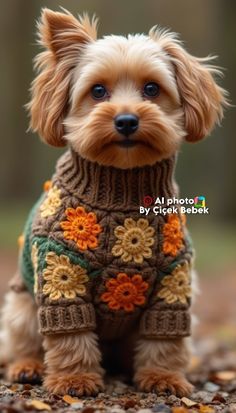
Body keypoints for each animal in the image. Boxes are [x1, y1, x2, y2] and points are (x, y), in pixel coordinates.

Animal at [0, 8, 229, 396]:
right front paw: (75, 379)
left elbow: (164, 338)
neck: (123, 187)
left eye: (152, 88)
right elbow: (70, 334)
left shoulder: (174, 279)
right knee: (23, 343)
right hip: (21, 307)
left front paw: (164, 378)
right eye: (97, 91)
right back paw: (28, 367)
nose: (126, 120)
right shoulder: (61, 270)